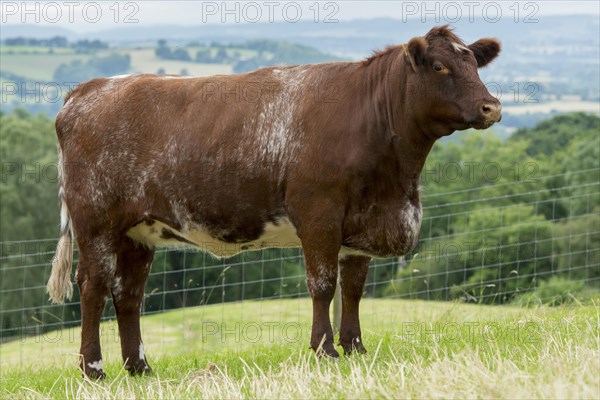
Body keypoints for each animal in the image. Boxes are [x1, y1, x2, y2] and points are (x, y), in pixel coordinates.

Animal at [47, 25, 500, 378]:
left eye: (475, 65)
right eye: (440, 67)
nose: (491, 106)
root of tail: (90, 88)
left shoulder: (361, 222)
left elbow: (353, 289)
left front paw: (356, 348)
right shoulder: (319, 214)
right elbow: (323, 285)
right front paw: (325, 351)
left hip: (139, 232)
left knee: (128, 295)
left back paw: (140, 368)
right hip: (97, 223)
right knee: (93, 287)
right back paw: (94, 370)